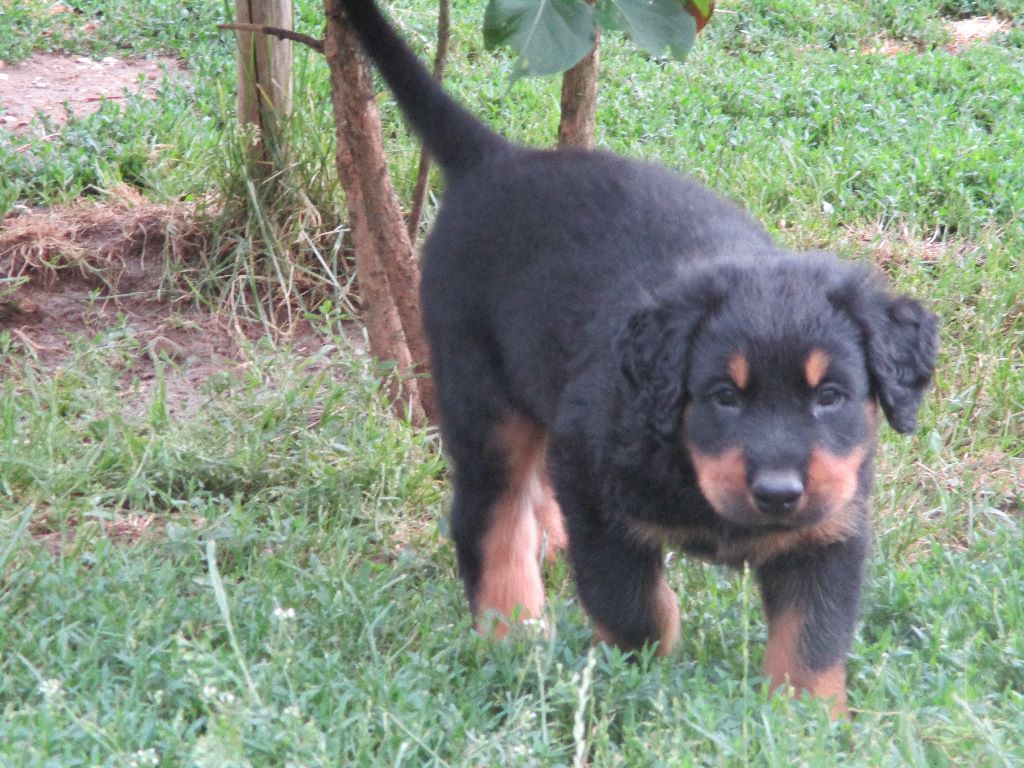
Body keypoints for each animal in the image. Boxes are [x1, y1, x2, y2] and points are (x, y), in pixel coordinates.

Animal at [338, 0, 937, 715]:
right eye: (723, 396)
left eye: (830, 397)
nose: (777, 493)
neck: (686, 463)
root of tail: (498, 160)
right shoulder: (594, 487)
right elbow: (633, 606)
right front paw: (638, 678)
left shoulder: (830, 525)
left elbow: (811, 639)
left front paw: (804, 721)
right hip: (482, 402)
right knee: (490, 519)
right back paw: (515, 634)